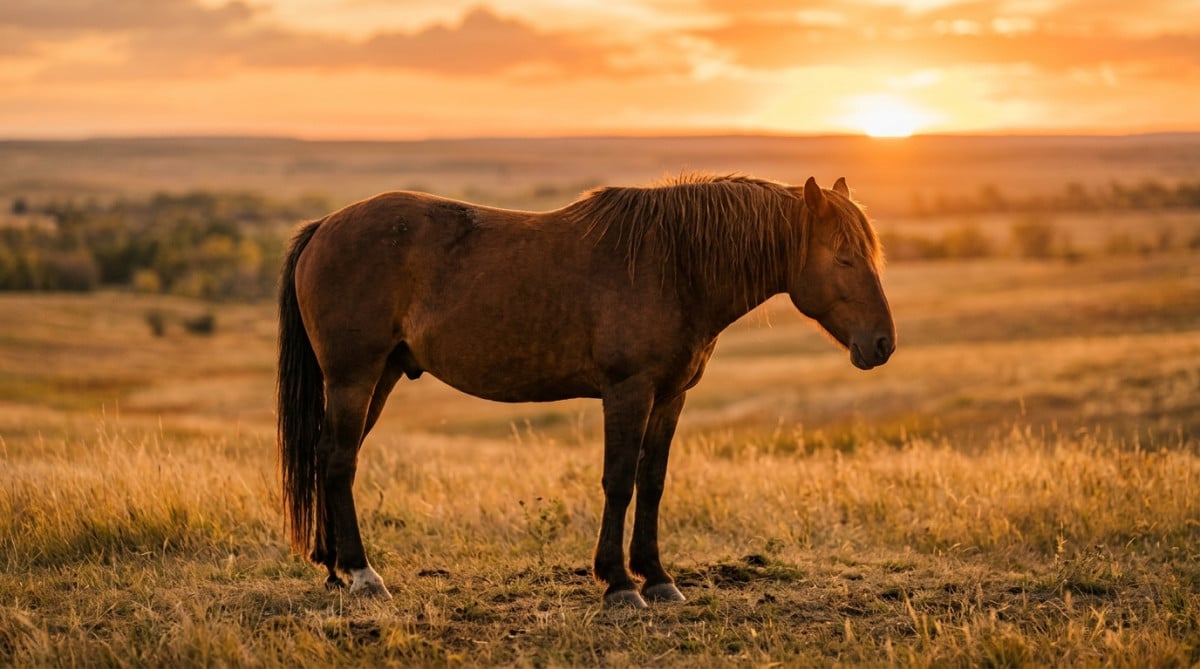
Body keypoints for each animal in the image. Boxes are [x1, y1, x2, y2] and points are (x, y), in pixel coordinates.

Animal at [276, 173, 895, 607]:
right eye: (844, 257)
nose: (882, 343)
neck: (675, 267)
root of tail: (324, 226)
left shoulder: (670, 396)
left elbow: (652, 482)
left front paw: (658, 578)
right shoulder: (628, 392)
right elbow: (618, 482)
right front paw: (619, 583)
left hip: (378, 377)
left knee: (332, 457)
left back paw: (334, 567)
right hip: (354, 377)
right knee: (339, 461)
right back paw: (363, 574)